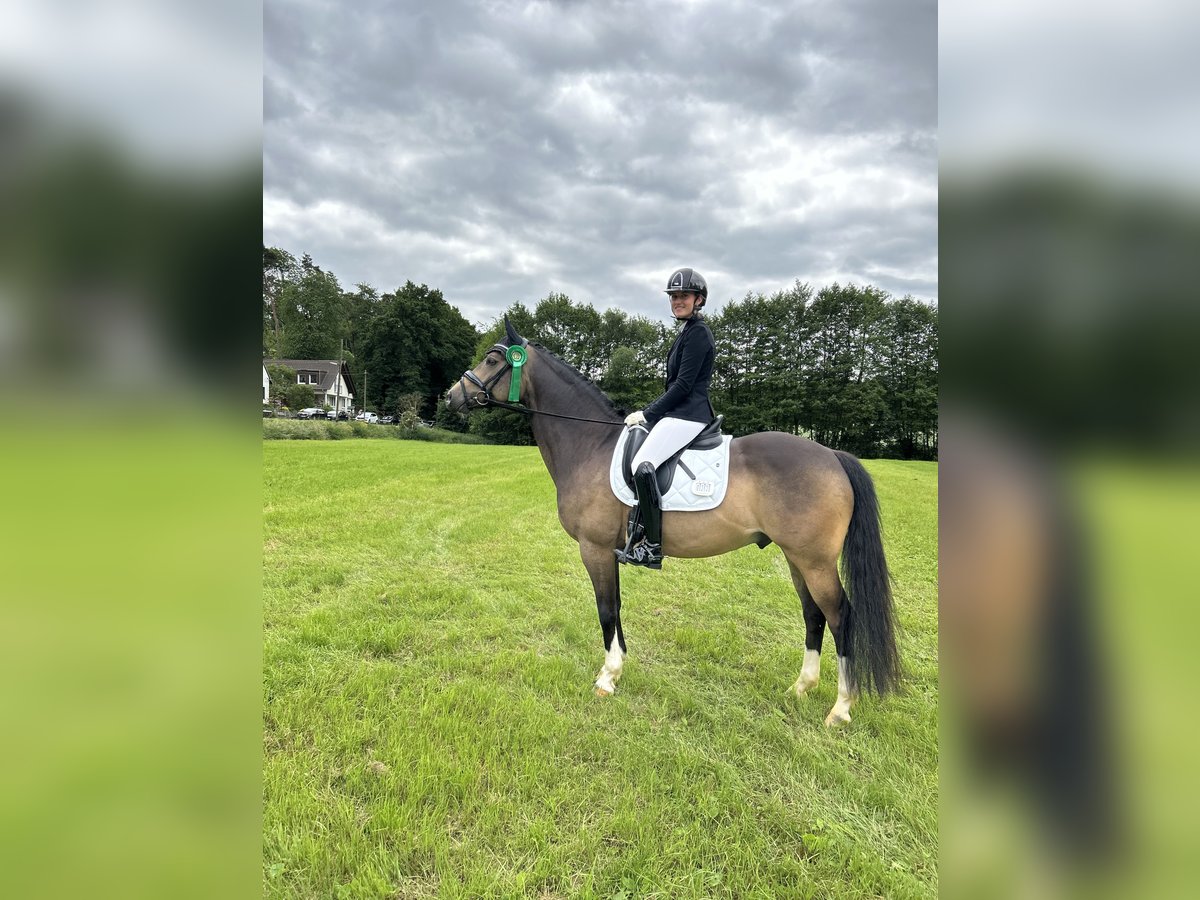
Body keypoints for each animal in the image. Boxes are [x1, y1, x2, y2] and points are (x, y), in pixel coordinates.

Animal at [445, 318, 901, 726]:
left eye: (492, 359)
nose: (450, 397)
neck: (590, 445)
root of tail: (832, 456)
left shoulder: (594, 548)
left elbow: (606, 609)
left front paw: (606, 678)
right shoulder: (610, 550)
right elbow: (617, 607)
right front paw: (619, 668)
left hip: (815, 561)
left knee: (840, 616)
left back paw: (840, 709)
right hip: (797, 558)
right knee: (813, 614)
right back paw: (800, 688)